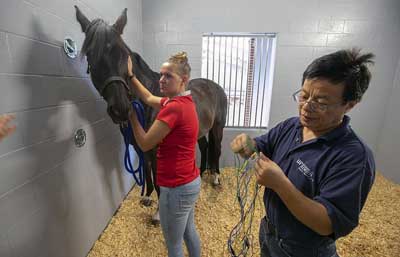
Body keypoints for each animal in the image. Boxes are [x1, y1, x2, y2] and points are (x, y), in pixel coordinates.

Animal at [74, 7, 227, 221]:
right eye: (90, 55)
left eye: (124, 55)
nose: (120, 108)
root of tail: (214, 86)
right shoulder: (140, 146)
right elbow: (147, 173)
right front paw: (146, 197)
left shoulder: (156, 151)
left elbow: (159, 180)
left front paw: (158, 215)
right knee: (205, 147)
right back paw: (202, 172)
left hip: (218, 127)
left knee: (217, 148)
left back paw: (215, 178)